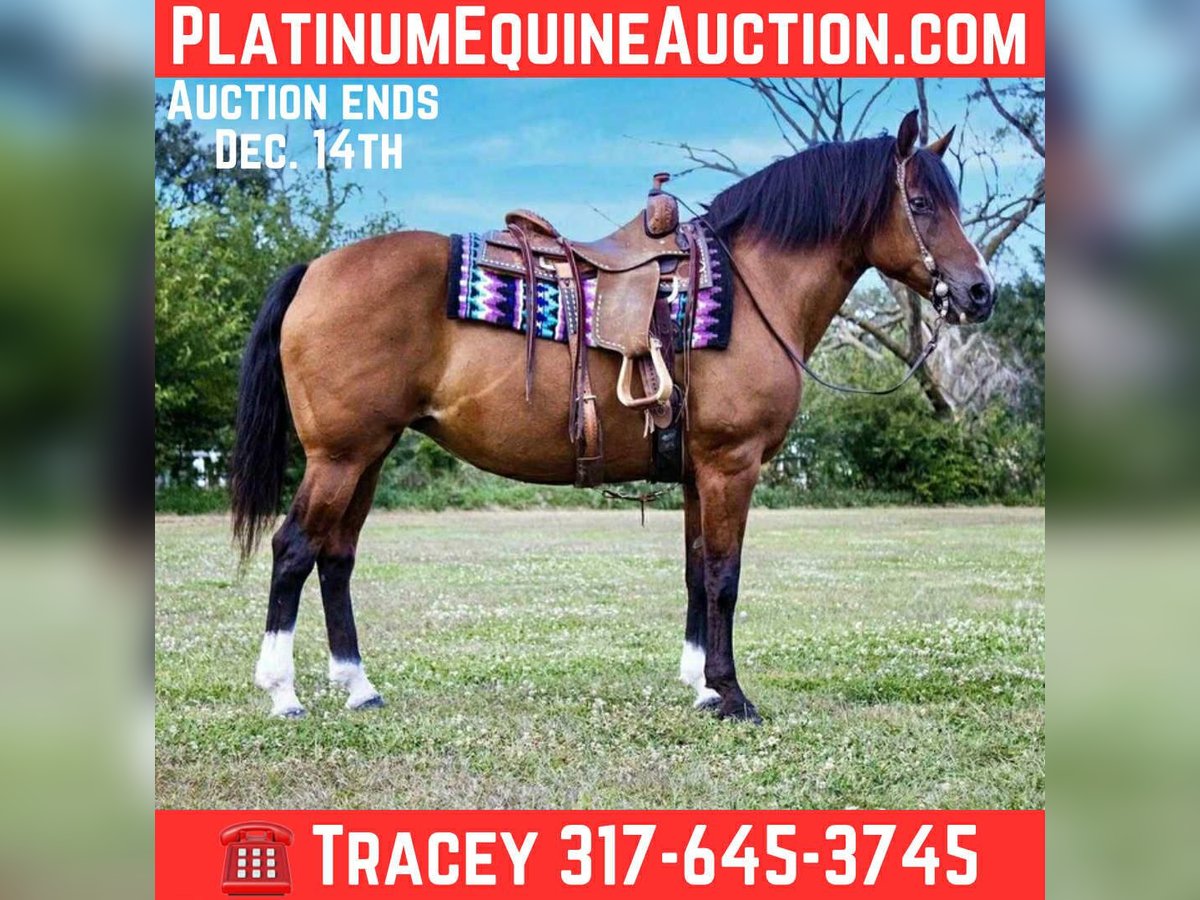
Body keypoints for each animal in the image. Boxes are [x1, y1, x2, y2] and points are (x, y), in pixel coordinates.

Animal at [230, 111, 994, 723]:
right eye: (920, 202)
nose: (980, 292)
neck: (750, 289)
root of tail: (316, 269)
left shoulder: (697, 472)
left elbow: (695, 571)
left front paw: (702, 685)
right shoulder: (731, 465)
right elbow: (724, 577)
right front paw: (732, 695)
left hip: (369, 453)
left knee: (335, 556)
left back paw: (359, 686)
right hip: (340, 456)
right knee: (293, 551)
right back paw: (282, 691)